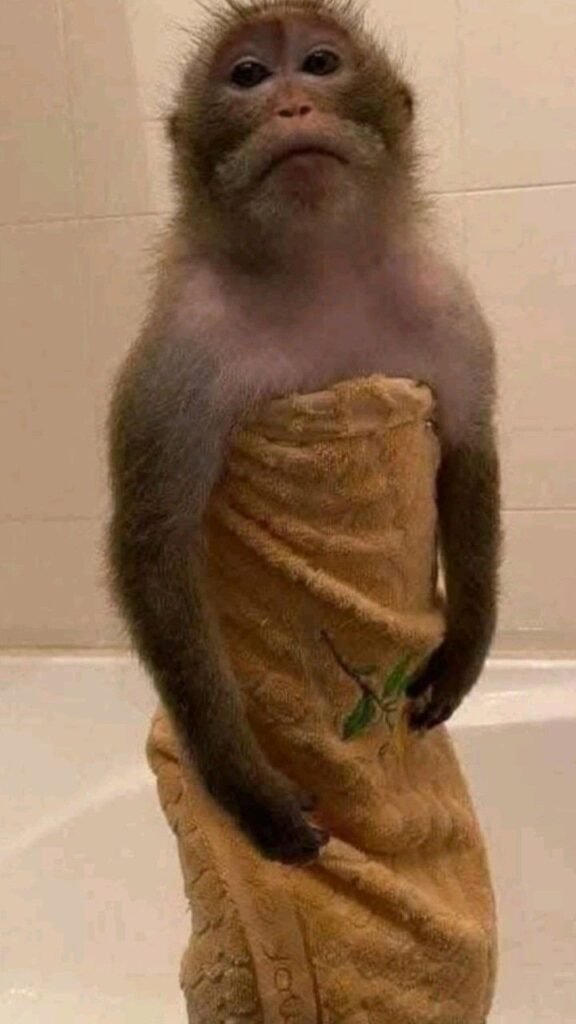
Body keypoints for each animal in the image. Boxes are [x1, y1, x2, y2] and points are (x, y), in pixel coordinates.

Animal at [106, 0, 501, 868]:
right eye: (248, 75)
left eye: (320, 63)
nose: (292, 105)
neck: (317, 266)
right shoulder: (181, 352)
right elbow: (155, 546)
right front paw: (246, 785)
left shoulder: (447, 302)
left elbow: (466, 450)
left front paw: (465, 647)